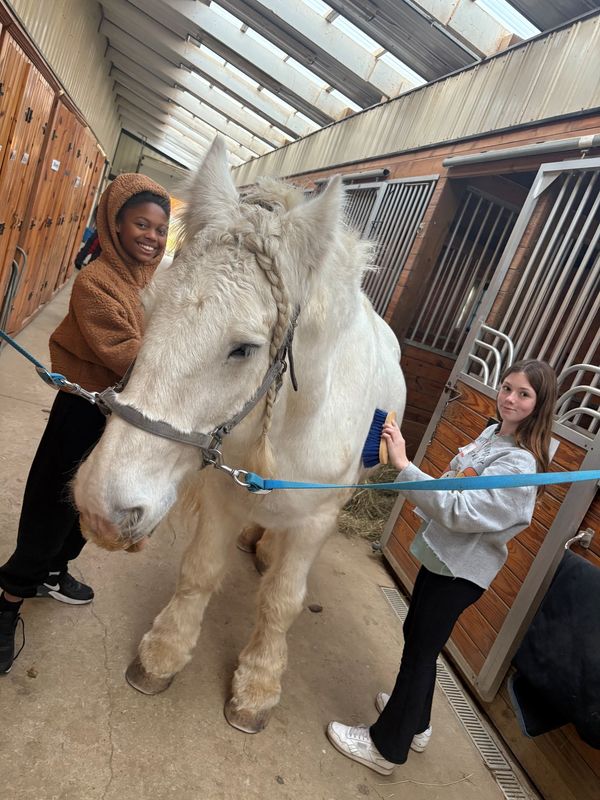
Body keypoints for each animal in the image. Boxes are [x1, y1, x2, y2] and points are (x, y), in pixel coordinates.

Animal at [73, 137, 406, 734]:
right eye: (148, 309)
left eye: (244, 349)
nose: (100, 507)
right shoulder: (223, 493)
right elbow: (200, 572)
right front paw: (163, 655)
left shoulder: (315, 518)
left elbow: (282, 601)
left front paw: (257, 686)